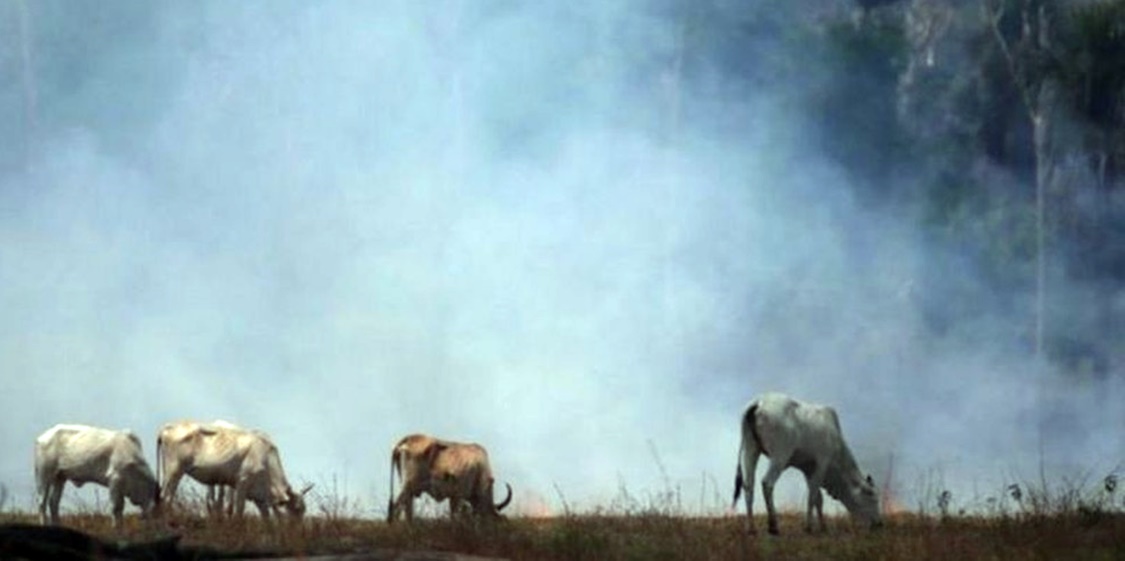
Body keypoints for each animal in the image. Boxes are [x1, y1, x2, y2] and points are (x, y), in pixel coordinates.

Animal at [156, 420, 310, 519]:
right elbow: (239, 510)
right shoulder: (242, 482)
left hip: (168, 471)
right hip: (174, 471)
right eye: (296, 508)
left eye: (304, 510)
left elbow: (267, 519)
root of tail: (167, 428)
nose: (298, 533)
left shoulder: (259, 497)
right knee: (166, 497)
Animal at [733, 393, 882, 532]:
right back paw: (773, 526)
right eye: (872, 497)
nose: (879, 523)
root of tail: (759, 402)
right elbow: (813, 495)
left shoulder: (808, 470)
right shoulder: (822, 462)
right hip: (780, 455)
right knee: (767, 483)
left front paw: (823, 526)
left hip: (751, 449)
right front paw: (809, 527)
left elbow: (818, 499)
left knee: (748, 485)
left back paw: (751, 528)